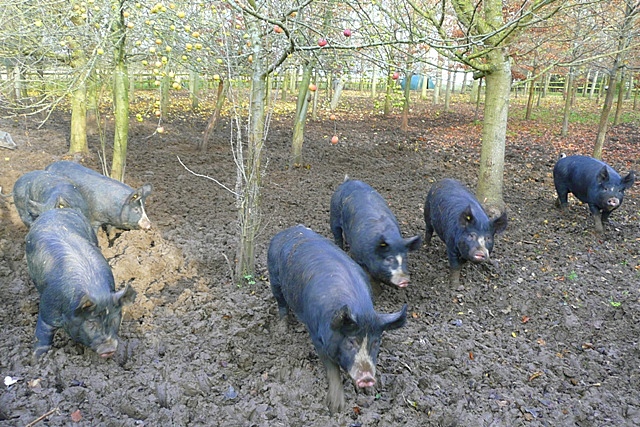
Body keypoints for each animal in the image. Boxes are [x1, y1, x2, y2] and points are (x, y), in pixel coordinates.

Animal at [26, 208, 136, 358]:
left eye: (114, 320)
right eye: (91, 323)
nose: (109, 349)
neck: (96, 290)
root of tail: (54, 210)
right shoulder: (48, 309)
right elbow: (42, 335)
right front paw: (36, 358)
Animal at [268, 226, 408, 412]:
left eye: (375, 342)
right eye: (351, 341)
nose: (367, 378)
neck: (360, 310)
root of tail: (286, 232)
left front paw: (369, 392)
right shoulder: (316, 334)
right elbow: (331, 367)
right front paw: (336, 407)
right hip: (274, 278)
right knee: (281, 303)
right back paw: (282, 330)